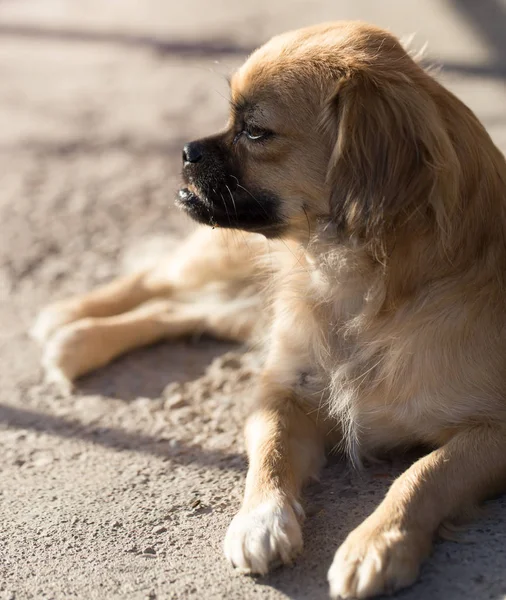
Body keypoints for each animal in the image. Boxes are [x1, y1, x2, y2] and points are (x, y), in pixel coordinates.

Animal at [30, 19, 506, 600]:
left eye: (255, 131)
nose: (186, 150)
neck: (354, 284)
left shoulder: (492, 434)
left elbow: (424, 473)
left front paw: (377, 543)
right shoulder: (281, 391)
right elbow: (272, 452)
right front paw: (260, 522)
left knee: (181, 310)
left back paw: (77, 342)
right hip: (225, 260)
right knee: (159, 280)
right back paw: (66, 320)